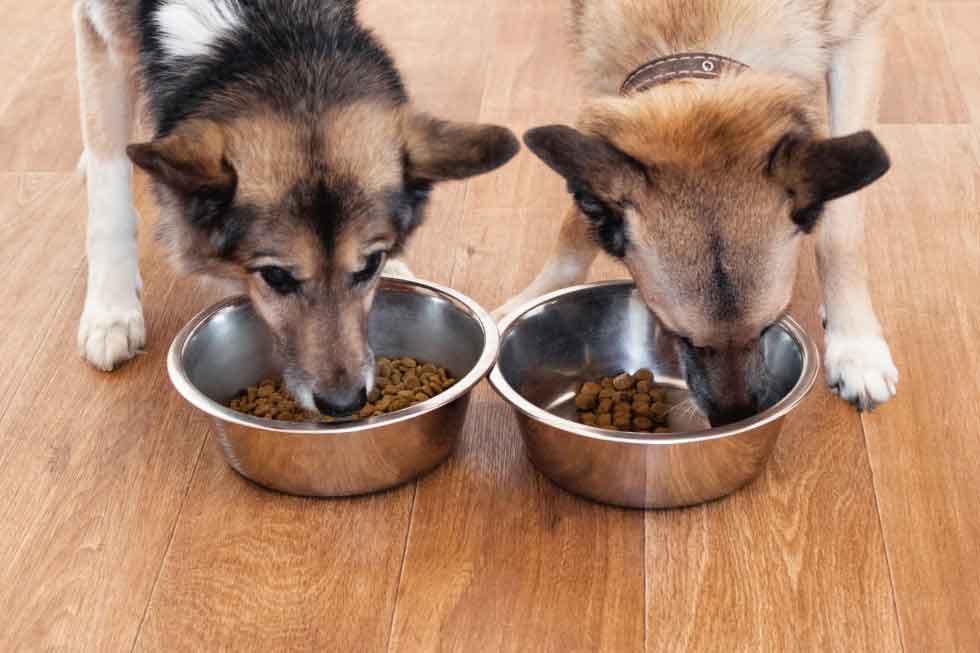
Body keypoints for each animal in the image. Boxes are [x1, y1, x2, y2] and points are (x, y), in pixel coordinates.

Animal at [74, 0, 520, 416]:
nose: (343, 405)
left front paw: (397, 269)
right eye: (276, 277)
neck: (265, 28)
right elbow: (109, 186)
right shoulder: (99, 32)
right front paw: (111, 311)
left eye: (370, 266)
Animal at [502, 0, 900, 426]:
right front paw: (530, 297)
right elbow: (576, 225)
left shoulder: (861, 37)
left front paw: (855, 345)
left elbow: (840, 232)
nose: (735, 418)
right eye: (676, 335)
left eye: (768, 327)